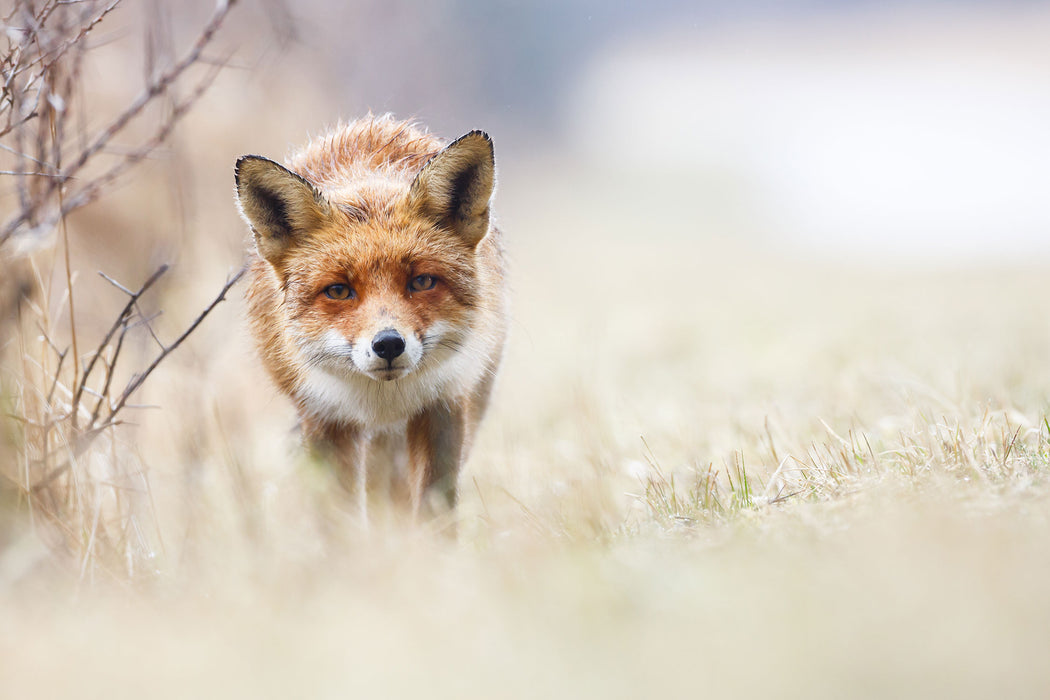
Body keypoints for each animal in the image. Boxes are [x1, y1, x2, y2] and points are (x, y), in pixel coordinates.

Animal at [233, 114, 508, 520]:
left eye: (421, 281)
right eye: (338, 291)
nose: (389, 344)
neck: (383, 401)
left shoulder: (443, 406)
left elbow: (434, 511)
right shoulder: (324, 419)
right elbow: (339, 518)